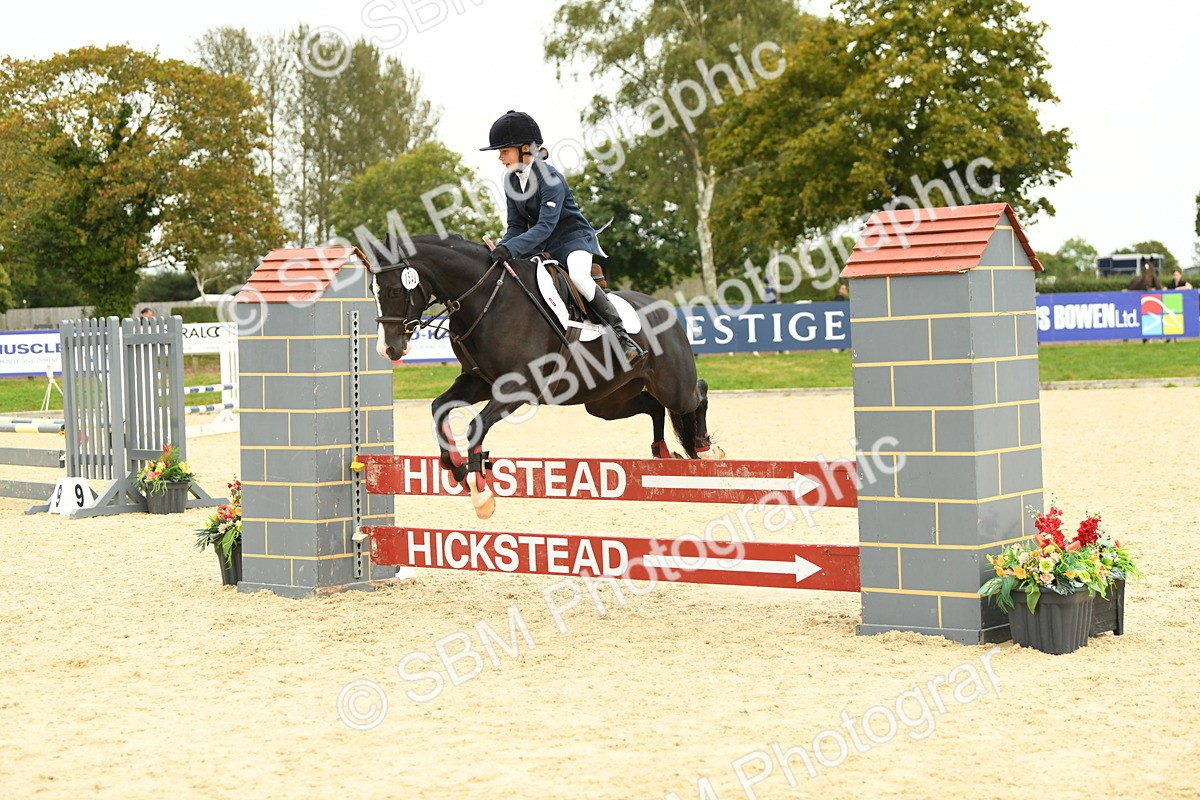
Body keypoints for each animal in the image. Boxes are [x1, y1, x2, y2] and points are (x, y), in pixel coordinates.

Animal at [368, 234, 722, 519]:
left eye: (396, 290)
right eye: (373, 290)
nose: (389, 348)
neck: (487, 300)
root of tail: (666, 312)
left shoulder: (517, 387)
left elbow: (475, 426)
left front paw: (481, 494)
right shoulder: (479, 382)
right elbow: (439, 407)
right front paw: (455, 466)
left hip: (672, 386)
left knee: (697, 393)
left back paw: (706, 449)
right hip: (606, 402)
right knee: (653, 406)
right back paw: (661, 451)